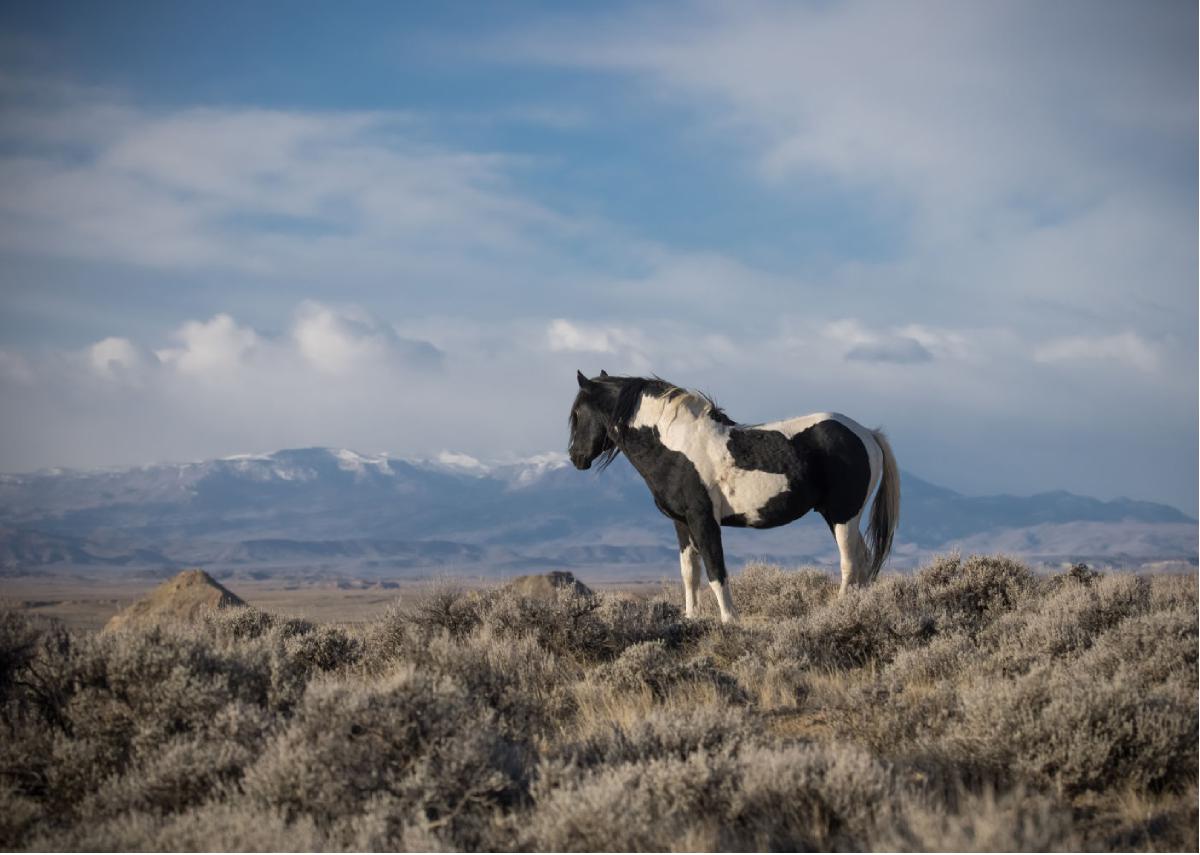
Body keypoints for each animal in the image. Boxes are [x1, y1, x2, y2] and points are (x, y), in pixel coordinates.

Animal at [571, 369, 902, 624]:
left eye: (576, 414)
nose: (576, 457)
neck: (677, 446)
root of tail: (867, 433)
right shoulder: (682, 523)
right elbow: (689, 572)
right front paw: (691, 617)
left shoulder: (704, 520)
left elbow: (716, 569)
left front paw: (730, 618)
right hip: (838, 516)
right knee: (863, 561)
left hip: (843, 514)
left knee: (850, 563)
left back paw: (840, 611)